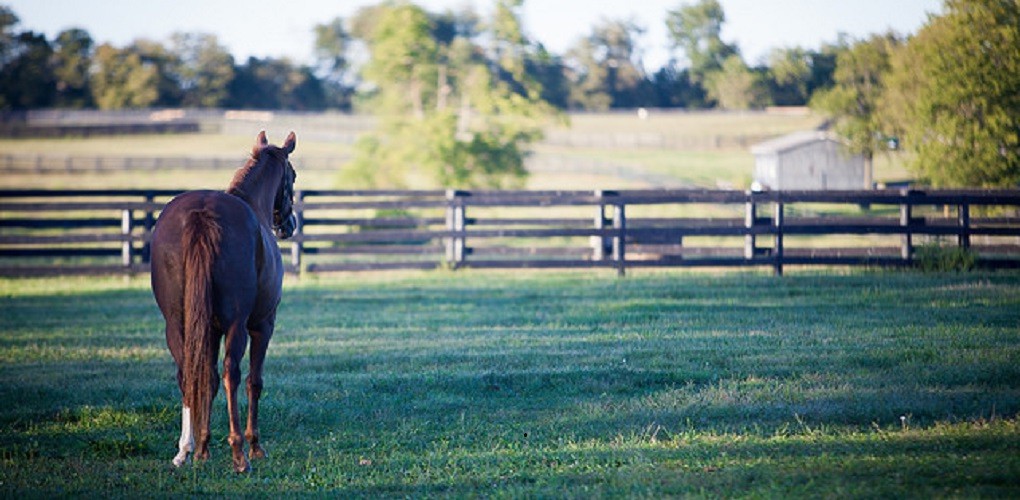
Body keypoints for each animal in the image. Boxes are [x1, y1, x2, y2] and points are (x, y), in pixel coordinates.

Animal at [148, 130, 297, 473]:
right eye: (293, 177)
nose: (290, 224)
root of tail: (201, 216)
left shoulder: (210, 328)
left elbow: (208, 378)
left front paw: (202, 447)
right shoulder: (262, 326)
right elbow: (253, 381)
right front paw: (255, 446)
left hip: (178, 325)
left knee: (188, 374)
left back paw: (186, 449)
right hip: (236, 326)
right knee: (232, 374)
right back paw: (239, 453)